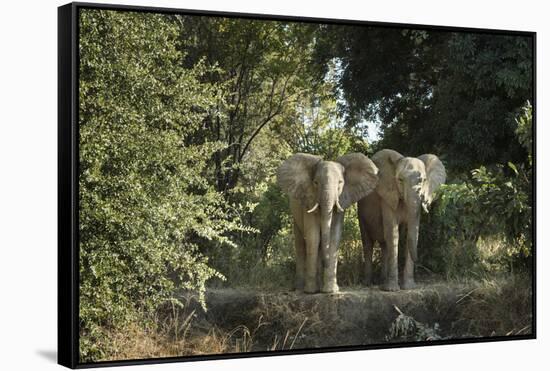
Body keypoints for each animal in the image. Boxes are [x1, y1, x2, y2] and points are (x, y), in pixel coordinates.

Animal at [278, 153, 382, 294]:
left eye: (340, 183)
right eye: (315, 183)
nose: (325, 262)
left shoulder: (342, 200)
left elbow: (334, 236)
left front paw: (330, 291)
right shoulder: (309, 199)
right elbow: (313, 237)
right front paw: (310, 291)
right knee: (301, 244)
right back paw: (300, 288)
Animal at [360, 150, 446, 292]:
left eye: (423, 180)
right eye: (400, 180)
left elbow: (412, 231)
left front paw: (409, 287)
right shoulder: (388, 196)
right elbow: (393, 232)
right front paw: (392, 290)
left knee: (384, 245)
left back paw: (382, 281)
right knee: (367, 243)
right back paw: (368, 283)